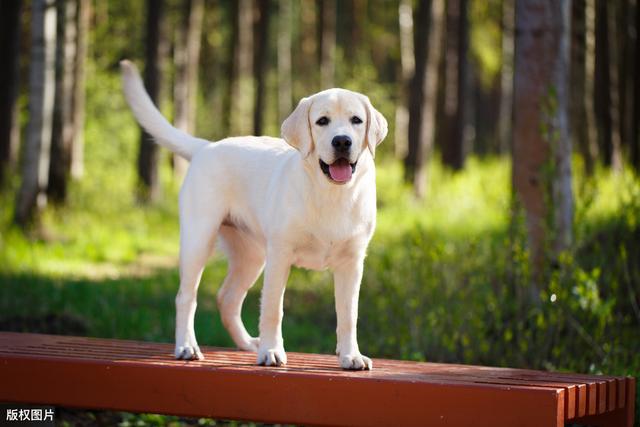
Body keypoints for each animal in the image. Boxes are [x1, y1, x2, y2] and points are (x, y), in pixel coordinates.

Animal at [122, 60, 388, 372]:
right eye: (322, 121)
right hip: (199, 239)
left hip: (251, 255)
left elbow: (348, 315)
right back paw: (187, 346)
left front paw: (350, 355)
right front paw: (272, 351)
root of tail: (206, 146)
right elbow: (273, 309)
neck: (331, 194)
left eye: (356, 120)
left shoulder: (352, 262)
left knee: (227, 298)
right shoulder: (280, 255)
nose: (343, 141)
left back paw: (248, 343)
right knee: (186, 297)